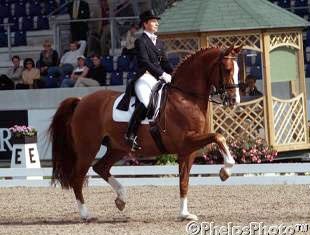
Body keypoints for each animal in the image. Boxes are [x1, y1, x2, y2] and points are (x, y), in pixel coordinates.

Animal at [49, 45, 242, 220]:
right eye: (227, 69)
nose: (234, 100)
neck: (186, 98)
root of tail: (81, 101)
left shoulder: (188, 150)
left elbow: (184, 181)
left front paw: (184, 214)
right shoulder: (187, 141)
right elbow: (219, 136)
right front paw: (225, 171)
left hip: (117, 148)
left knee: (100, 167)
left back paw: (121, 199)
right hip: (88, 148)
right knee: (77, 178)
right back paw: (86, 214)